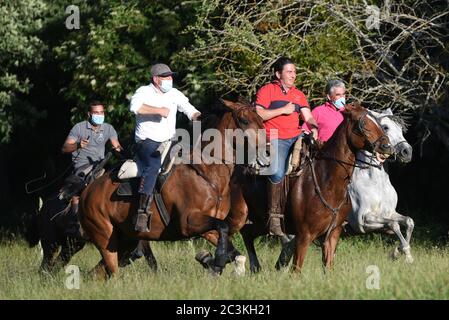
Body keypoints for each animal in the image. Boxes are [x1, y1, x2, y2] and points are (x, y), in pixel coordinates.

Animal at [78, 99, 268, 276]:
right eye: (244, 120)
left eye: (261, 119)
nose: (267, 152)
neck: (207, 173)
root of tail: (87, 191)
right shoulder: (189, 222)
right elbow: (224, 230)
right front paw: (215, 262)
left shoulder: (207, 228)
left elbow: (231, 248)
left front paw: (210, 260)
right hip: (105, 239)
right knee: (112, 272)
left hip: (125, 241)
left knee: (98, 273)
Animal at [203, 102, 392, 272]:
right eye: (363, 124)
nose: (387, 146)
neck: (327, 181)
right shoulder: (304, 235)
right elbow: (296, 270)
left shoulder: (333, 234)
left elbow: (328, 268)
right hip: (237, 216)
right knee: (219, 232)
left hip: (258, 221)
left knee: (247, 235)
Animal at [346, 109, 412, 264]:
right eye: (386, 127)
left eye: (401, 129)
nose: (407, 152)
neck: (377, 183)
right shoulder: (364, 220)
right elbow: (394, 225)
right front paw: (405, 253)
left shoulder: (389, 214)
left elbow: (408, 221)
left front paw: (399, 251)